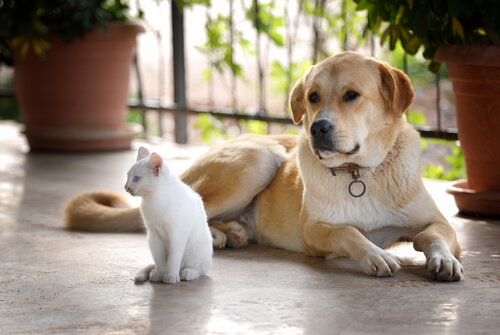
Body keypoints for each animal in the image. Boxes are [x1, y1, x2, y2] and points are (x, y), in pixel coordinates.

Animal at [125, 147, 213, 284]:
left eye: (137, 178)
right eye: (127, 176)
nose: (126, 187)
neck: (154, 199)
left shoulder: (177, 235)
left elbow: (173, 259)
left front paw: (171, 276)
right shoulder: (154, 234)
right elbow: (160, 259)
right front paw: (159, 274)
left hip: (197, 251)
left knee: (200, 270)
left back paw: (187, 273)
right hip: (150, 241)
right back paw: (154, 272)